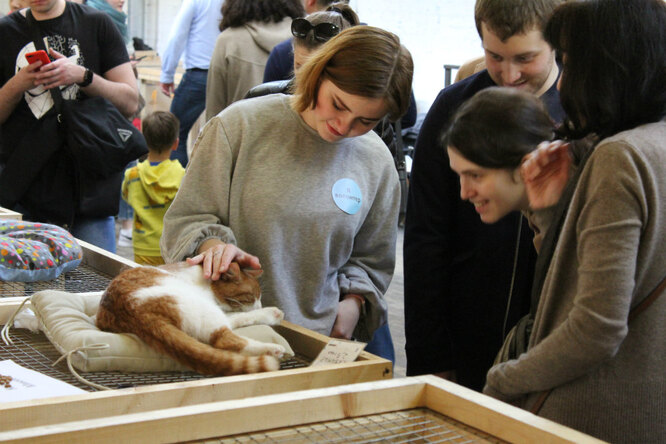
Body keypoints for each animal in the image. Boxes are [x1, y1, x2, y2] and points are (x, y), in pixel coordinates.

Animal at [96, 262, 286, 376]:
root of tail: (132, 309)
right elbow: (242, 315)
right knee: (224, 339)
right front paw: (269, 313)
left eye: (260, 297)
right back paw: (273, 349)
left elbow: (237, 316)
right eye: (251, 297)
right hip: (201, 307)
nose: (259, 306)